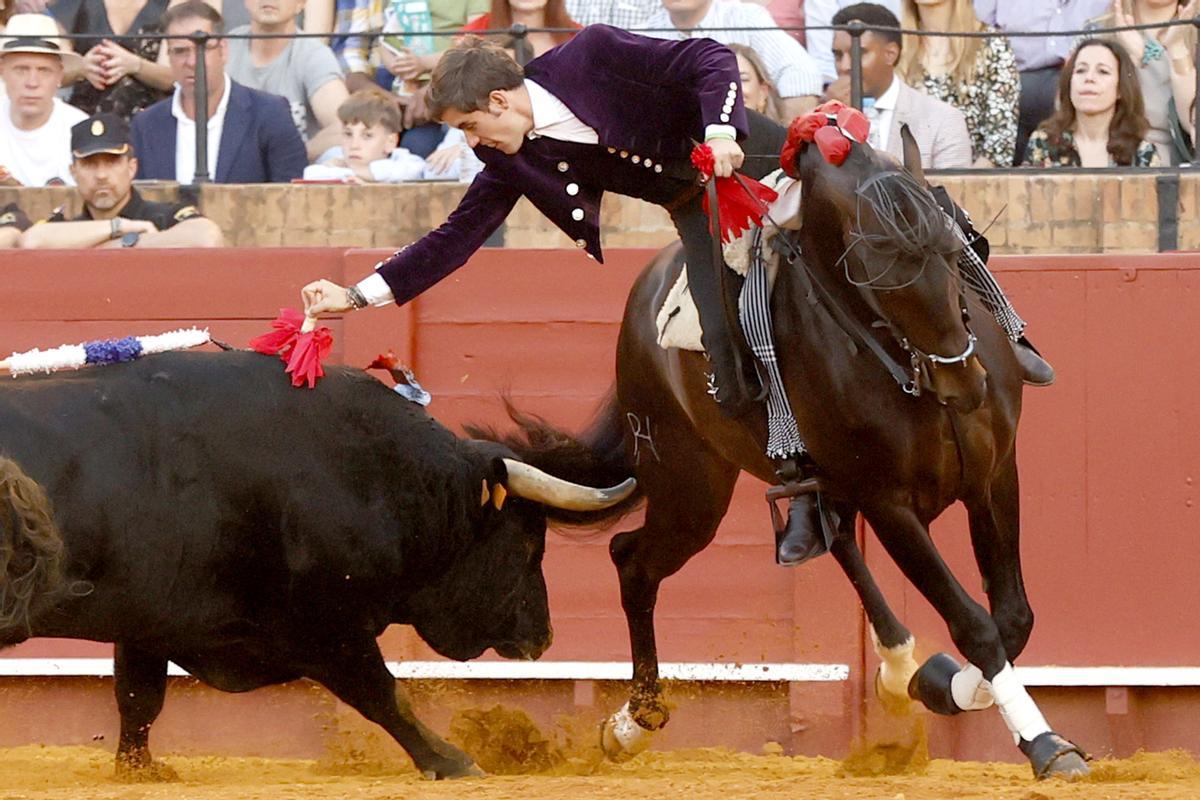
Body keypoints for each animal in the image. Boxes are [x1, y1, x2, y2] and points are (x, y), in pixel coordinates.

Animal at [0, 347, 638, 777]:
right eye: (528, 544)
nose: (544, 637)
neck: (374, 474)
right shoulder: (328, 626)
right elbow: (384, 694)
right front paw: (454, 760)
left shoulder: (151, 617)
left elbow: (138, 698)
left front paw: (142, 771)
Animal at [477, 126, 1089, 782]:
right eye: (872, 272)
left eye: (955, 250)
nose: (965, 383)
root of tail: (639, 309)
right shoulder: (889, 501)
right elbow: (975, 622)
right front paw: (1044, 743)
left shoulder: (994, 475)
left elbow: (1014, 617)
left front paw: (938, 682)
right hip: (691, 491)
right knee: (633, 561)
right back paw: (633, 724)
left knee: (834, 536)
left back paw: (895, 663)